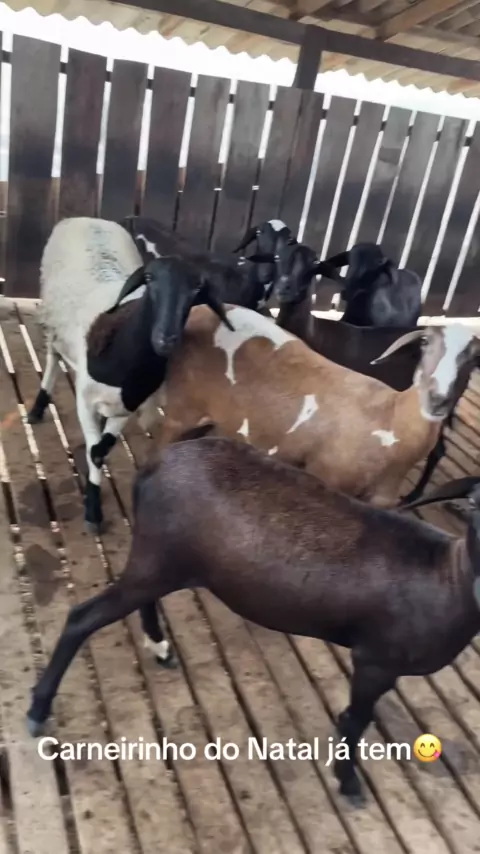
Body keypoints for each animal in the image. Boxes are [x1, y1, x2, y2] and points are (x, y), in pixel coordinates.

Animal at [25, 430, 480, 805]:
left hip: (161, 561)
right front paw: (349, 782)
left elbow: (354, 718)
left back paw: (159, 645)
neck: (448, 574)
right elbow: (357, 722)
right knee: (81, 617)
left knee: (140, 600)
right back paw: (37, 710)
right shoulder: (376, 660)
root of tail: (156, 464)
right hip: (161, 556)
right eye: (475, 507)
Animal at [27, 216, 232, 533]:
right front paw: (93, 511)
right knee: (53, 356)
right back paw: (37, 407)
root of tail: (88, 219)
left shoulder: (128, 404)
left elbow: (101, 449)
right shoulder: (85, 401)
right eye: (149, 278)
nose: (165, 338)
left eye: (197, 287)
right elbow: (94, 451)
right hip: (51, 314)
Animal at [140, 304, 479, 509]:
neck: (392, 417)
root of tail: (198, 311)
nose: (438, 399)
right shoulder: (327, 476)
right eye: (424, 344)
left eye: (474, 357)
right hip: (182, 408)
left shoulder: (380, 500)